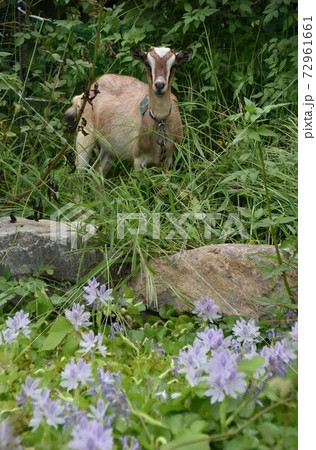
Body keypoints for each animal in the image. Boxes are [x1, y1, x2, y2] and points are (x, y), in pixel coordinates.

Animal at [65, 47, 193, 174]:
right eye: (147, 64)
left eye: (174, 65)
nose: (159, 85)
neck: (160, 121)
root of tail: (84, 95)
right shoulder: (138, 160)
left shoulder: (168, 160)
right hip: (85, 135)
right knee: (80, 172)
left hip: (110, 150)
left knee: (95, 171)